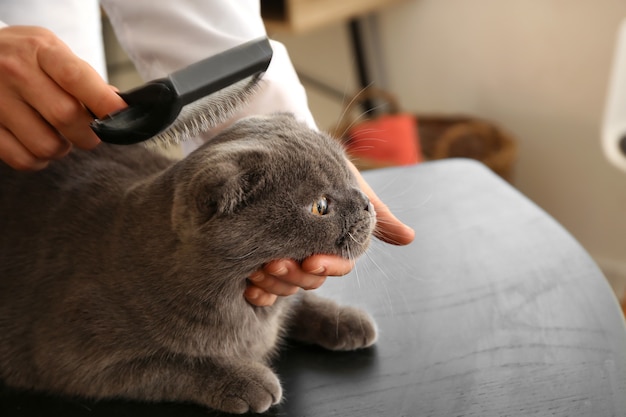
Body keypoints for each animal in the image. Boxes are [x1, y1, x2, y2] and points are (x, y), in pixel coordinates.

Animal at [0, 113, 376, 412]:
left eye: (347, 172)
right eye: (320, 207)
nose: (367, 204)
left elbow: (300, 300)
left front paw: (346, 320)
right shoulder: (77, 360)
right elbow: (173, 366)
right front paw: (248, 381)